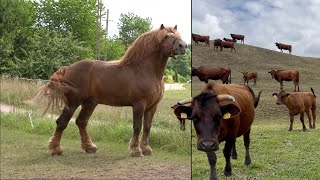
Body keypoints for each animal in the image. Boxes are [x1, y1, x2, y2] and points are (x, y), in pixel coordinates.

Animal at [31, 24, 186, 157]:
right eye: (166, 36)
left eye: (177, 34)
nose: (183, 46)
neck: (145, 70)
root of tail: (67, 68)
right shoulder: (139, 105)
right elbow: (137, 126)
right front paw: (135, 150)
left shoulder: (152, 107)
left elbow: (147, 127)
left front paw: (146, 149)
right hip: (73, 103)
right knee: (62, 122)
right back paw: (56, 149)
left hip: (90, 103)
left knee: (81, 122)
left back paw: (89, 147)